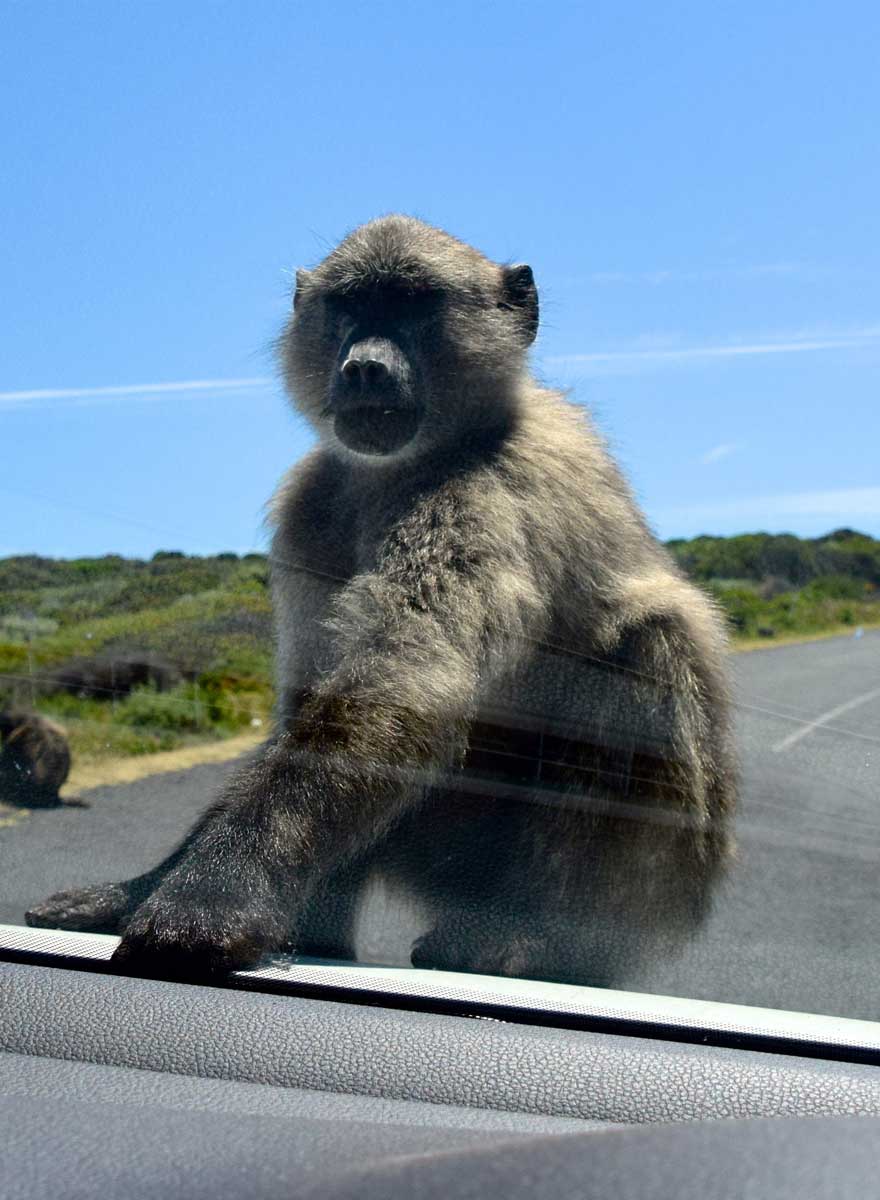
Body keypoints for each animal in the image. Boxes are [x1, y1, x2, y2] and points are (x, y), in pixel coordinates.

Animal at [26, 215, 736, 986]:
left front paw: (211, 898)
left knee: (645, 647)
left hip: (642, 878)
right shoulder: (311, 502)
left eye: (412, 305)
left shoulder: (482, 494)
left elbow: (399, 684)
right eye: (351, 308)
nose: (364, 366)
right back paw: (315, 938)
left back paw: (534, 942)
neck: (407, 465)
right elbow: (314, 703)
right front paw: (141, 892)